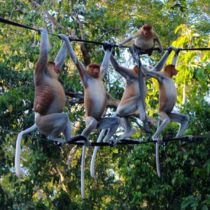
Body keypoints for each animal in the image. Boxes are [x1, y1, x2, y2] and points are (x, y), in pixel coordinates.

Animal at [15, 28, 71, 177]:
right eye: (51, 66)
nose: (56, 68)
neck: (49, 74)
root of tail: (37, 120)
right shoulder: (39, 69)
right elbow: (44, 54)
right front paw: (43, 30)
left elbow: (59, 59)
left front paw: (65, 38)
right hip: (45, 123)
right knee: (63, 117)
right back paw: (54, 138)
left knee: (66, 117)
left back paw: (71, 140)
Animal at [58, 34, 120, 199]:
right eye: (92, 67)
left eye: (96, 67)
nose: (95, 69)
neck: (94, 77)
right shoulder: (84, 74)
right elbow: (75, 60)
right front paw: (66, 39)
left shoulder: (101, 74)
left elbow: (105, 66)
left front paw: (108, 46)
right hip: (89, 118)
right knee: (91, 124)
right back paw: (83, 139)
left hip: (101, 121)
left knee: (114, 121)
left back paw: (107, 140)